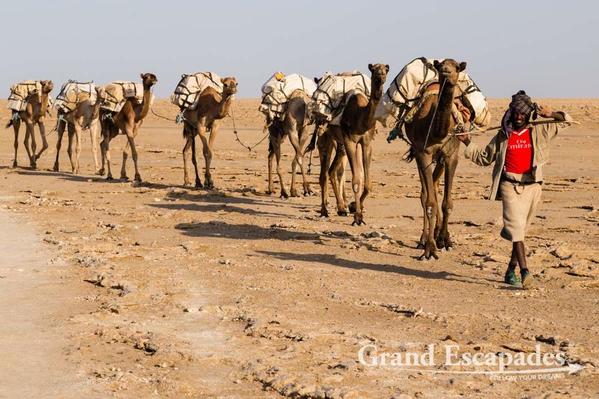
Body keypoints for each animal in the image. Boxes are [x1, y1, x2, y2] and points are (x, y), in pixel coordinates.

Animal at [326, 62, 392, 225]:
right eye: (374, 70)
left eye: (386, 70)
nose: (380, 78)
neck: (361, 117)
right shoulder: (350, 141)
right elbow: (356, 180)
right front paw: (357, 216)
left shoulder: (366, 142)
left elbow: (366, 182)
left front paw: (355, 207)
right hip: (328, 136)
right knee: (326, 170)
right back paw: (328, 209)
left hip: (340, 144)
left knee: (332, 170)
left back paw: (341, 207)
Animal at [404, 57, 468, 260]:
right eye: (441, 66)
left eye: (457, 67)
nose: (446, 70)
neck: (437, 132)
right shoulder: (423, 153)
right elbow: (430, 201)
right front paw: (430, 248)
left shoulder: (451, 155)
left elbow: (447, 202)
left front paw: (446, 240)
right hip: (419, 154)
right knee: (426, 193)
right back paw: (424, 239)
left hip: (439, 160)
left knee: (435, 185)